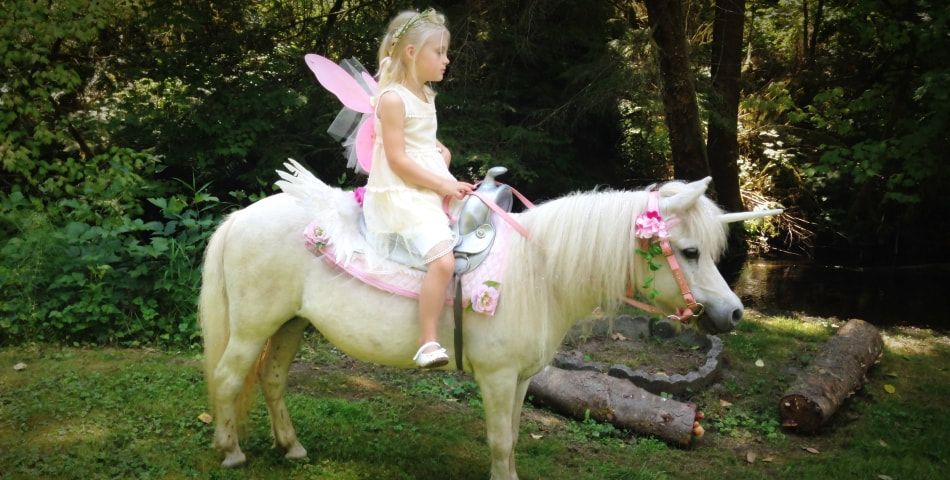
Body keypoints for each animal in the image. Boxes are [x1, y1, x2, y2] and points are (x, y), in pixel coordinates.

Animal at [199, 167, 778, 479]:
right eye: (690, 251)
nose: (733, 312)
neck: (538, 272)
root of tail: (239, 218)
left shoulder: (520, 379)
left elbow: (514, 436)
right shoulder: (497, 379)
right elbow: (500, 440)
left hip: (290, 324)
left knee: (272, 380)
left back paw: (291, 447)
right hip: (253, 326)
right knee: (227, 379)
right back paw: (231, 452)